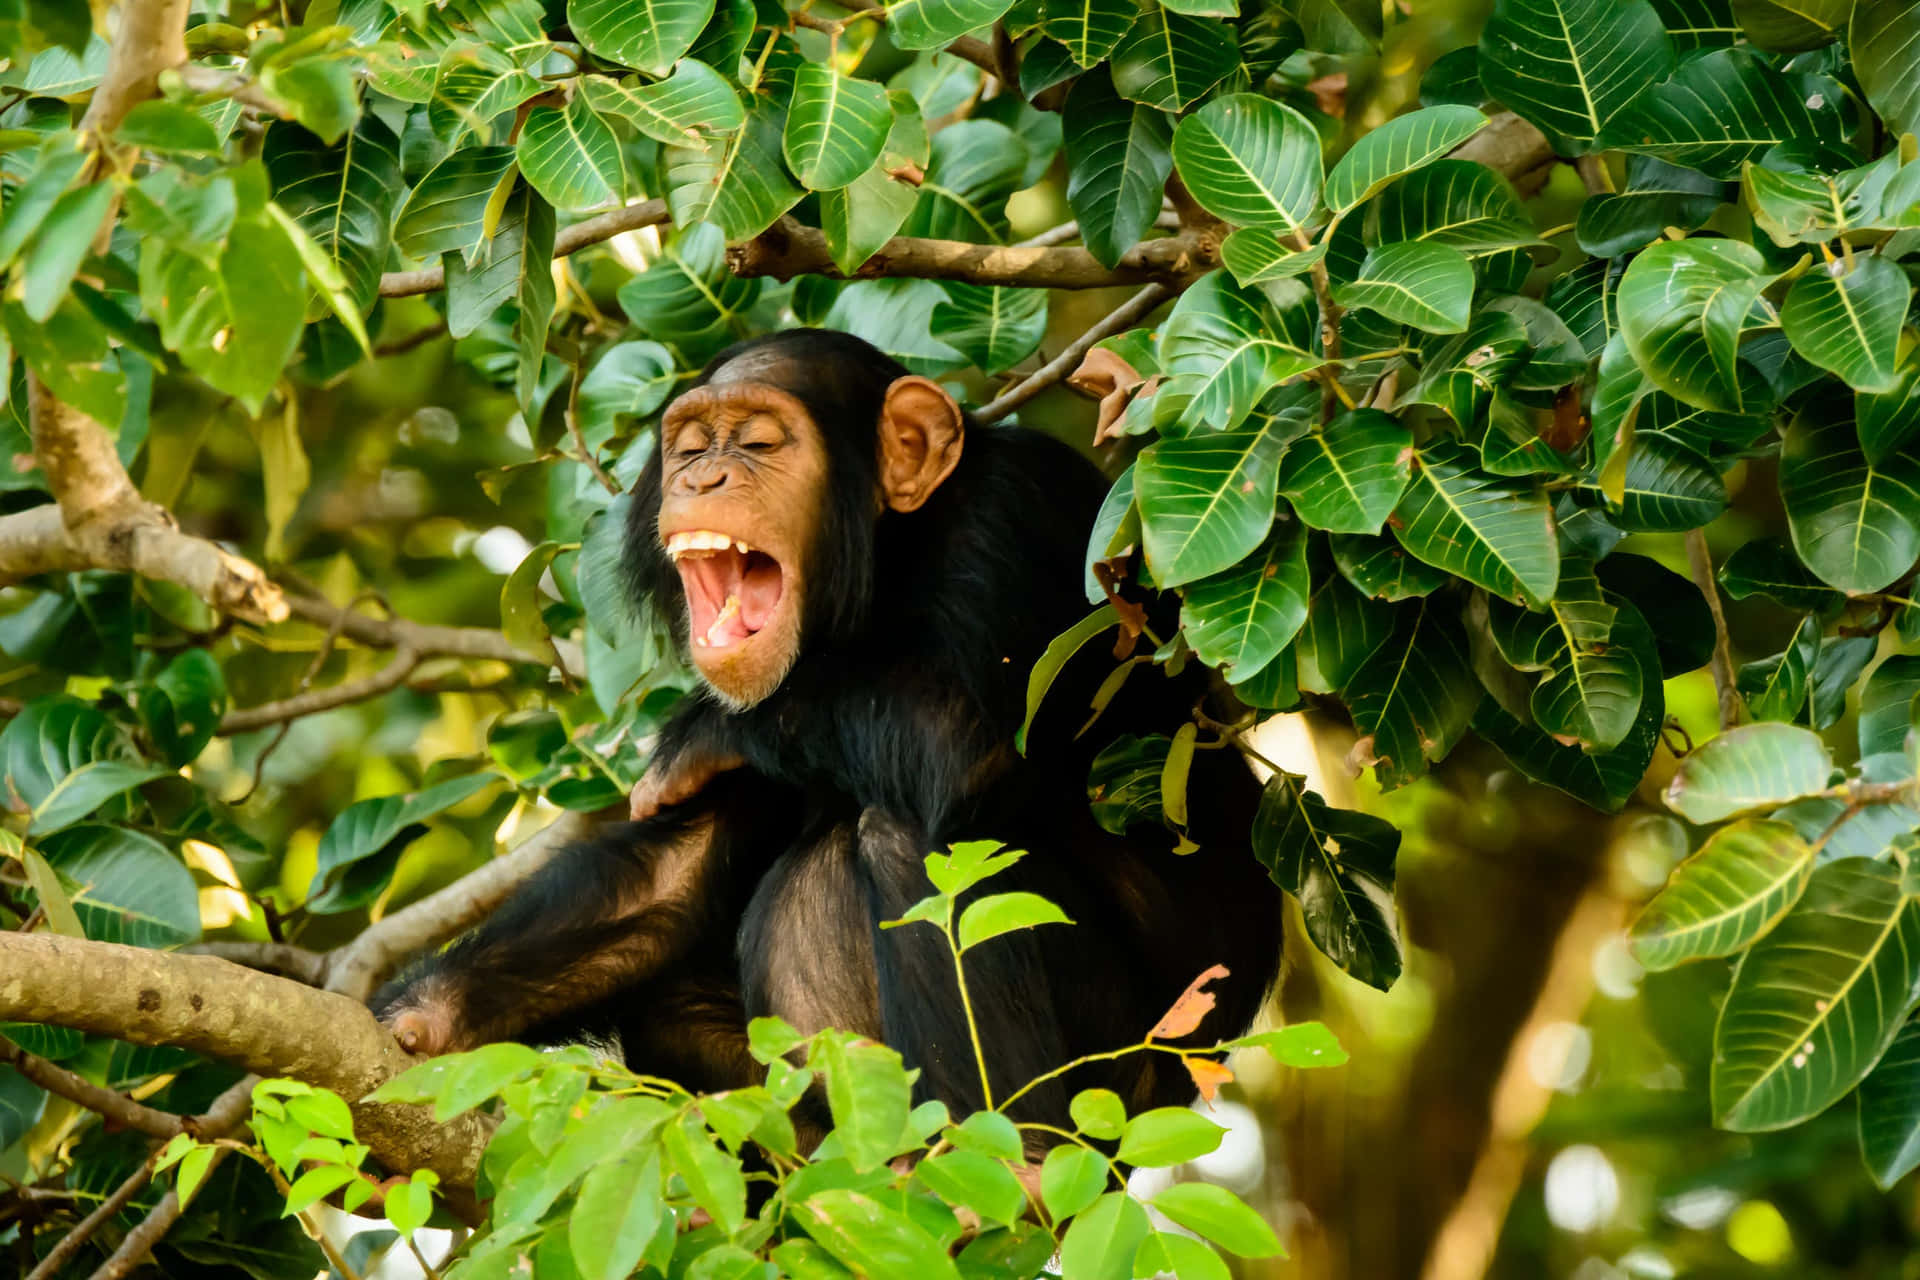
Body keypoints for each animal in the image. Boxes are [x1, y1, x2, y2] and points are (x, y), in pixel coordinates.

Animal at [374, 328, 1282, 1128]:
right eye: (690, 444)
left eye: (760, 441)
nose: (704, 474)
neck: (887, 560)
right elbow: (677, 877)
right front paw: (422, 1021)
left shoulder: (1023, 517)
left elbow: (969, 744)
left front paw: (701, 731)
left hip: (1113, 1073)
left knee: (909, 840)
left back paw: (1010, 1158)